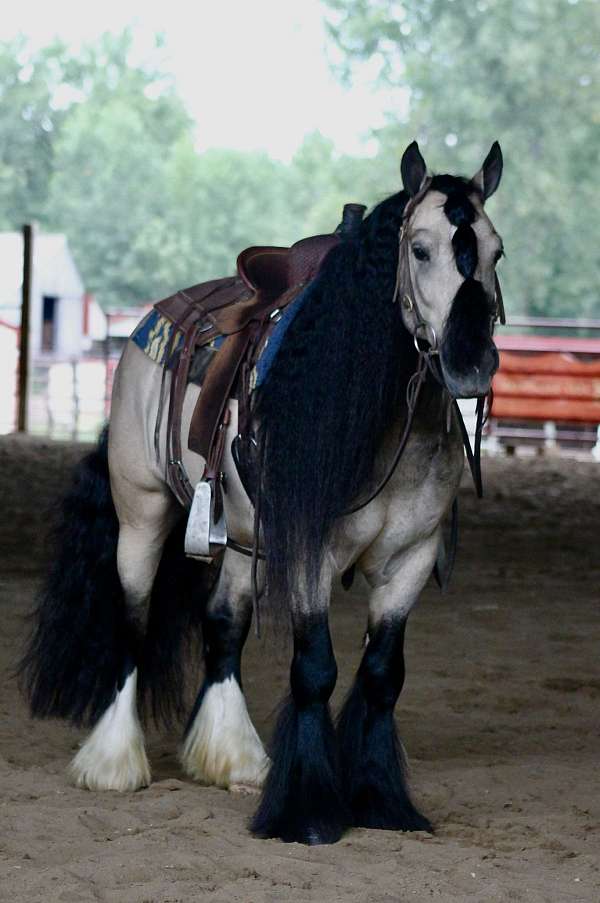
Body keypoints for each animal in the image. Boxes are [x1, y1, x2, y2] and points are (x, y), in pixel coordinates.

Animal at [21, 141, 504, 848]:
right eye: (419, 249)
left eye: (497, 251)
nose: (472, 362)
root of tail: (148, 324)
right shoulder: (308, 555)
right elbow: (316, 670)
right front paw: (307, 813)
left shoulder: (409, 560)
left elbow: (382, 675)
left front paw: (381, 801)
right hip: (142, 515)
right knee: (133, 623)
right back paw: (114, 763)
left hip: (245, 543)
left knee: (224, 624)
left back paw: (232, 757)